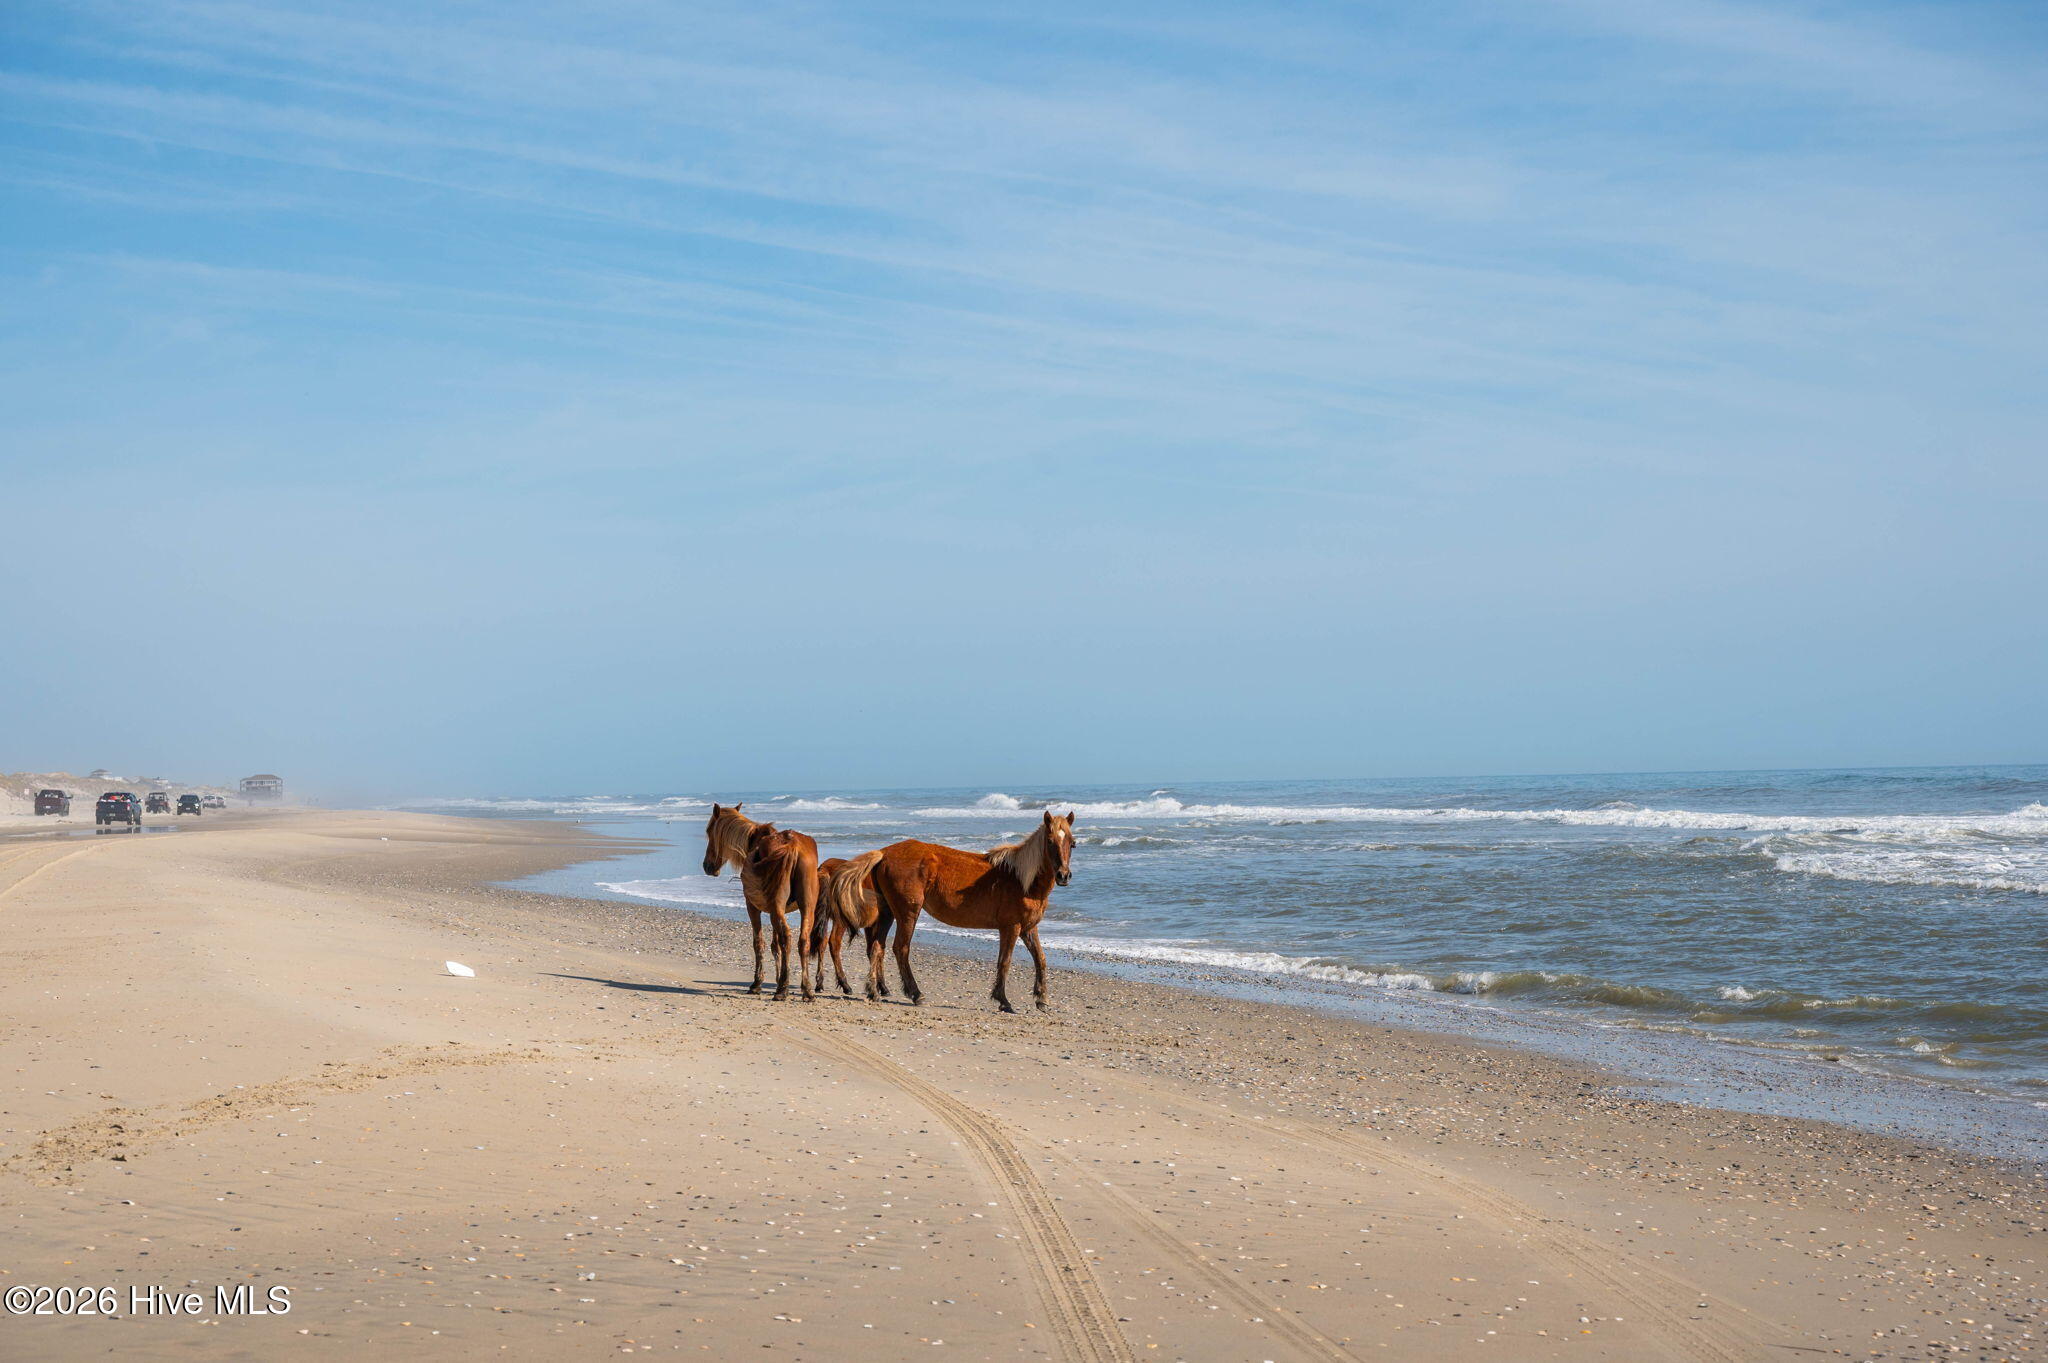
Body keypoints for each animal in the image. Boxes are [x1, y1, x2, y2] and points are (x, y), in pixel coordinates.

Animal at [701, 803, 819, 1001]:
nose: (707, 866)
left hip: (777, 908)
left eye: (710, 831)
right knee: (803, 941)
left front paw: (757, 983)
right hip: (806, 907)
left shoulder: (753, 907)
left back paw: (782, 990)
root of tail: (792, 846)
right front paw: (778, 978)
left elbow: (760, 943)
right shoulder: (778, 911)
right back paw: (807, 989)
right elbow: (775, 945)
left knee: (787, 937)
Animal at [830, 809, 1075, 1012]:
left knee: (876, 948)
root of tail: (883, 853)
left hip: (888, 914)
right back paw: (916, 994)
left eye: (1072, 843)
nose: (1063, 875)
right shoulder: (1010, 927)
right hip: (908, 913)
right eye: (1050, 841)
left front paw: (1041, 999)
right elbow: (1004, 962)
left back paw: (874, 991)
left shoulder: (1028, 928)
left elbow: (1040, 959)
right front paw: (1003, 1000)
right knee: (900, 948)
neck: (1020, 879)